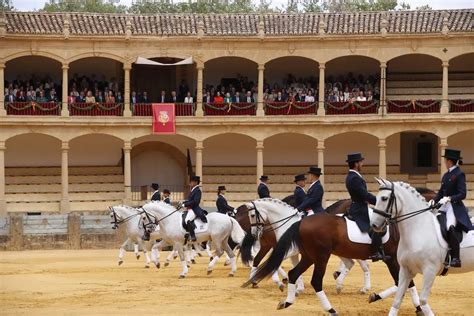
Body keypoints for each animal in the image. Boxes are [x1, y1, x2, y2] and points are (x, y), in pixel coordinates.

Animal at [372, 180, 472, 316]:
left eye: (384, 198)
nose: (374, 225)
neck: (418, 229)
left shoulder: (430, 271)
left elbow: (423, 301)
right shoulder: (406, 270)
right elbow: (397, 300)